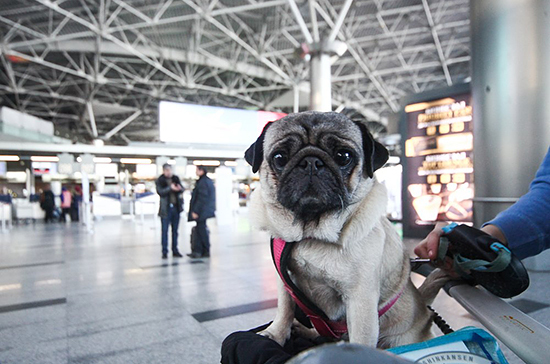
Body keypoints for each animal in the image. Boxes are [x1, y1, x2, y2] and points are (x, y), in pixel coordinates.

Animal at [246, 111, 448, 350]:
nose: (311, 162)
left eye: (343, 156)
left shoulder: (360, 301)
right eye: (279, 157)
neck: (310, 234)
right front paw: (276, 333)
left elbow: (360, 338)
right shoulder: (285, 285)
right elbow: (284, 310)